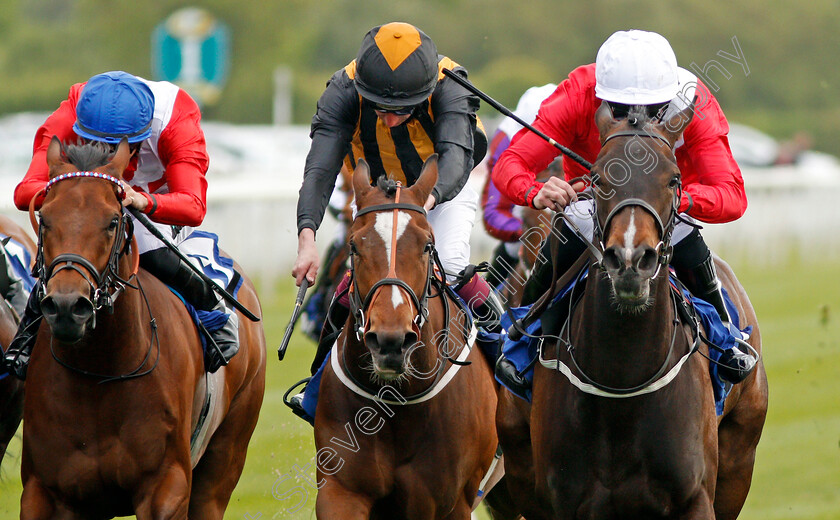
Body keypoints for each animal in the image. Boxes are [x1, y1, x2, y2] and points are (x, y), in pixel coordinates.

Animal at [18, 138, 266, 520]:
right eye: (44, 218)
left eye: (112, 221)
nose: (66, 307)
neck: (98, 374)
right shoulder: (43, 491)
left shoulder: (167, 486)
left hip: (225, 457)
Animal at [312, 157, 502, 520]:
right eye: (355, 245)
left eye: (427, 246)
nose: (391, 341)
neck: (398, 403)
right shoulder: (341, 490)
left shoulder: (448, 501)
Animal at [498, 103, 768, 516]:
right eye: (596, 178)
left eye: (674, 180)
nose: (629, 260)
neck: (622, 378)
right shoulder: (561, 502)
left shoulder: (696, 499)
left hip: (740, 458)